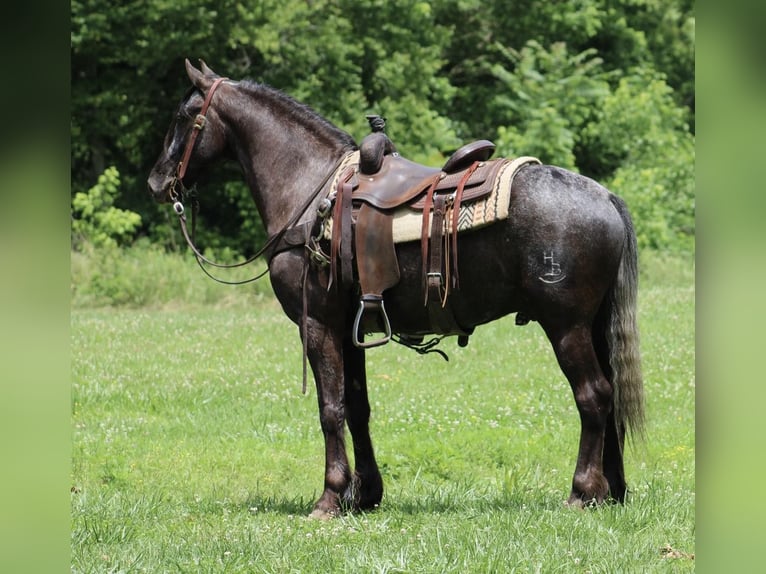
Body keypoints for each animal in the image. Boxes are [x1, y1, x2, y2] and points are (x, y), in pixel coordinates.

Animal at [148, 59, 644, 519]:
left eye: (183, 115)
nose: (156, 181)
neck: (310, 189)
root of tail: (605, 197)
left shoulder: (317, 323)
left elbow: (330, 409)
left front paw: (330, 497)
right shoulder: (351, 329)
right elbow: (357, 407)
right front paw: (364, 494)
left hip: (566, 326)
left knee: (593, 395)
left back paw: (582, 491)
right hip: (593, 325)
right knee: (611, 397)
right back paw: (613, 490)